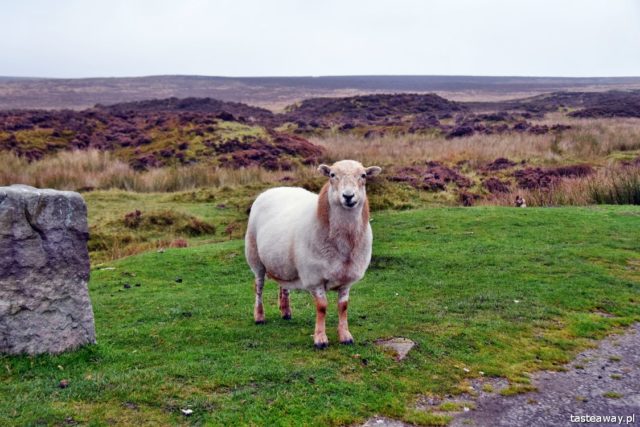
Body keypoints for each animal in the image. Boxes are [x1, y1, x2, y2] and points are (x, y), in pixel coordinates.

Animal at [244, 160, 382, 348]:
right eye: (332, 175)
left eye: (363, 176)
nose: (348, 196)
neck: (344, 242)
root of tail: (275, 188)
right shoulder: (314, 277)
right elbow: (322, 307)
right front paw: (320, 339)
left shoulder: (347, 278)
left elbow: (343, 307)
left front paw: (345, 336)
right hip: (255, 257)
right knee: (258, 286)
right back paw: (259, 316)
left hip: (282, 261)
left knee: (283, 285)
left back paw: (286, 312)